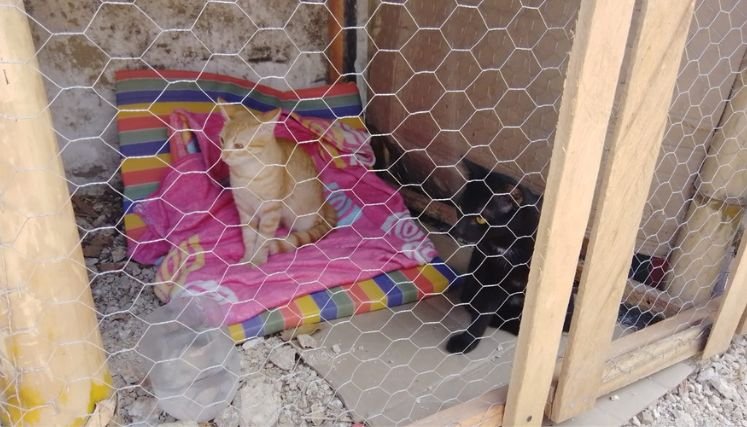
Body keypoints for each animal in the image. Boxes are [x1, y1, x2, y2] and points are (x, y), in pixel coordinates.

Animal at [218, 101, 338, 268]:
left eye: (239, 146)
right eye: (222, 140)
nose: (223, 156)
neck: (248, 175)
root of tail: (324, 203)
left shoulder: (271, 211)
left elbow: (263, 239)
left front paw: (257, 259)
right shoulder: (245, 209)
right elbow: (248, 236)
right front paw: (248, 257)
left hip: (304, 219)